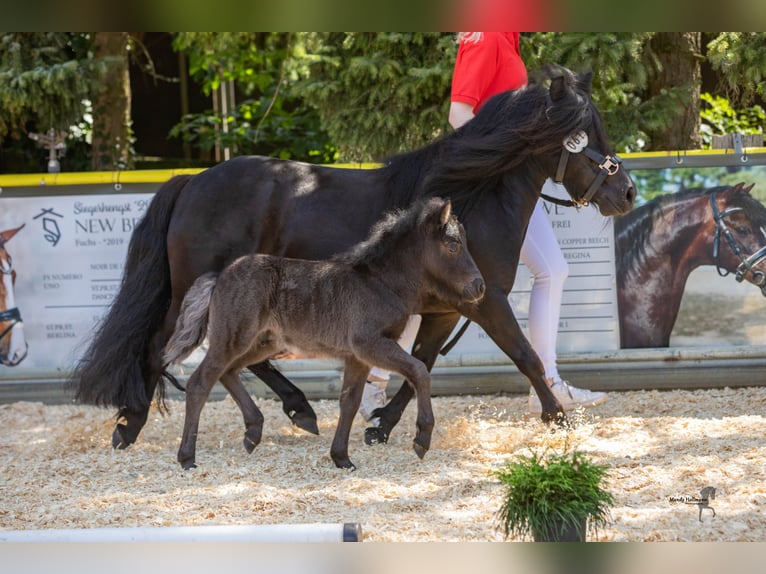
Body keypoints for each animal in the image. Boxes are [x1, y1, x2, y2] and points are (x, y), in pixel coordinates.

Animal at [164, 198, 486, 472]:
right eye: (453, 246)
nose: (479, 286)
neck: (380, 283)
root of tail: (219, 276)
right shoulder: (370, 344)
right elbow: (419, 371)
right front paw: (422, 438)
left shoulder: (358, 356)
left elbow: (350, 402)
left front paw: (342, 458)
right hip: (233, 338)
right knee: (200, 382)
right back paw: (187, 458)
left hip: (261, 343)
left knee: (228, 372)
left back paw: (253, 431)